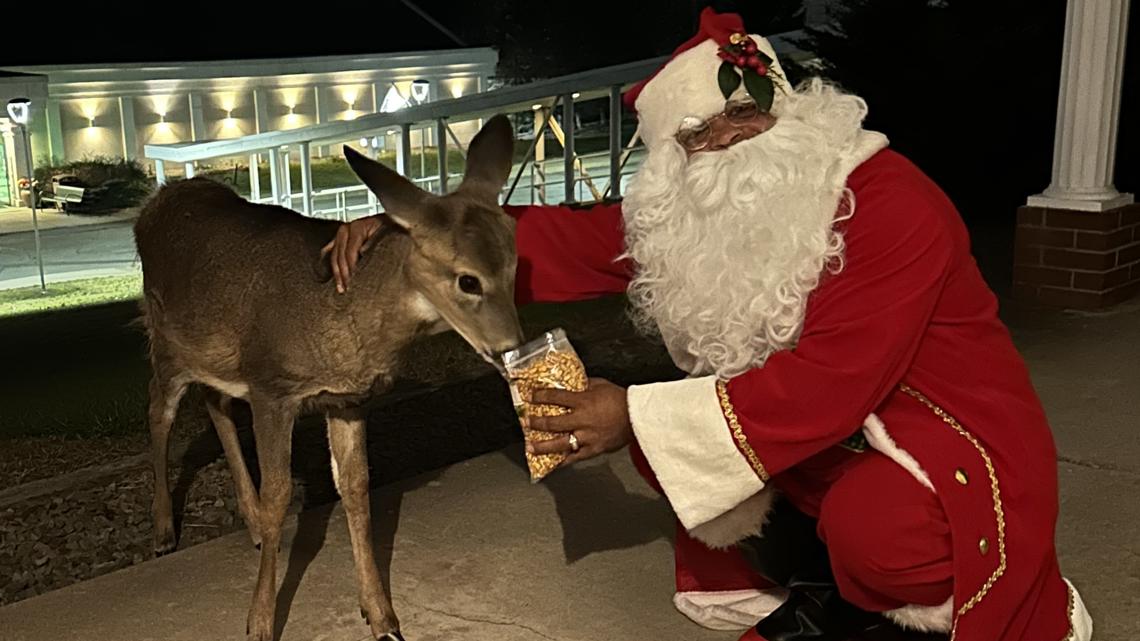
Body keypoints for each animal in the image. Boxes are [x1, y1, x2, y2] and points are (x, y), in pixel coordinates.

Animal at [135, 115, 522, 638]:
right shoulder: (272, 386)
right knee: (159, 410)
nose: (510, 345)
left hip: (215, 354)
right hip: (167, 342)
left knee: (215, 403)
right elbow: (280, 495)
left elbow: (356, 490)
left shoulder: (347, 400)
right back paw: (163, 531)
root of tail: (153, 203)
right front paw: (260, 621)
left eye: (516, 264)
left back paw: (250, 526)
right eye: (467, 279)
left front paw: (381, 616)